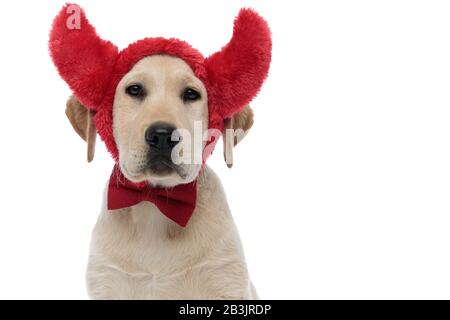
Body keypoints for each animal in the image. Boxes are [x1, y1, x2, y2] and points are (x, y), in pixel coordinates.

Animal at [66, 55, 256, 300]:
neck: (155, 202)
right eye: (135, 90)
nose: (163, 135)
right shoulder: (107, 281)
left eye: (191, 94)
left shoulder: (225, 280)